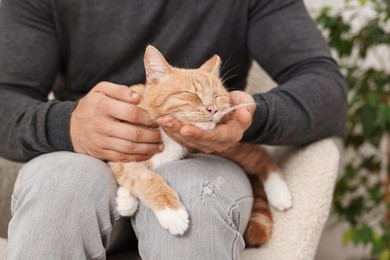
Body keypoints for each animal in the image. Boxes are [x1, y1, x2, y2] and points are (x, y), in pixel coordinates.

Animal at [108, 45, 290, 247]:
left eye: (217, 96)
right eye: (192, 94)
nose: (213, 109)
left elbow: (146, 177)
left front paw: (172, 213)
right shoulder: (119, 149)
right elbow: (142, 176)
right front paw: (127, 200)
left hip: (230, 149)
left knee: (260, 154)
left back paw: (279, 191)